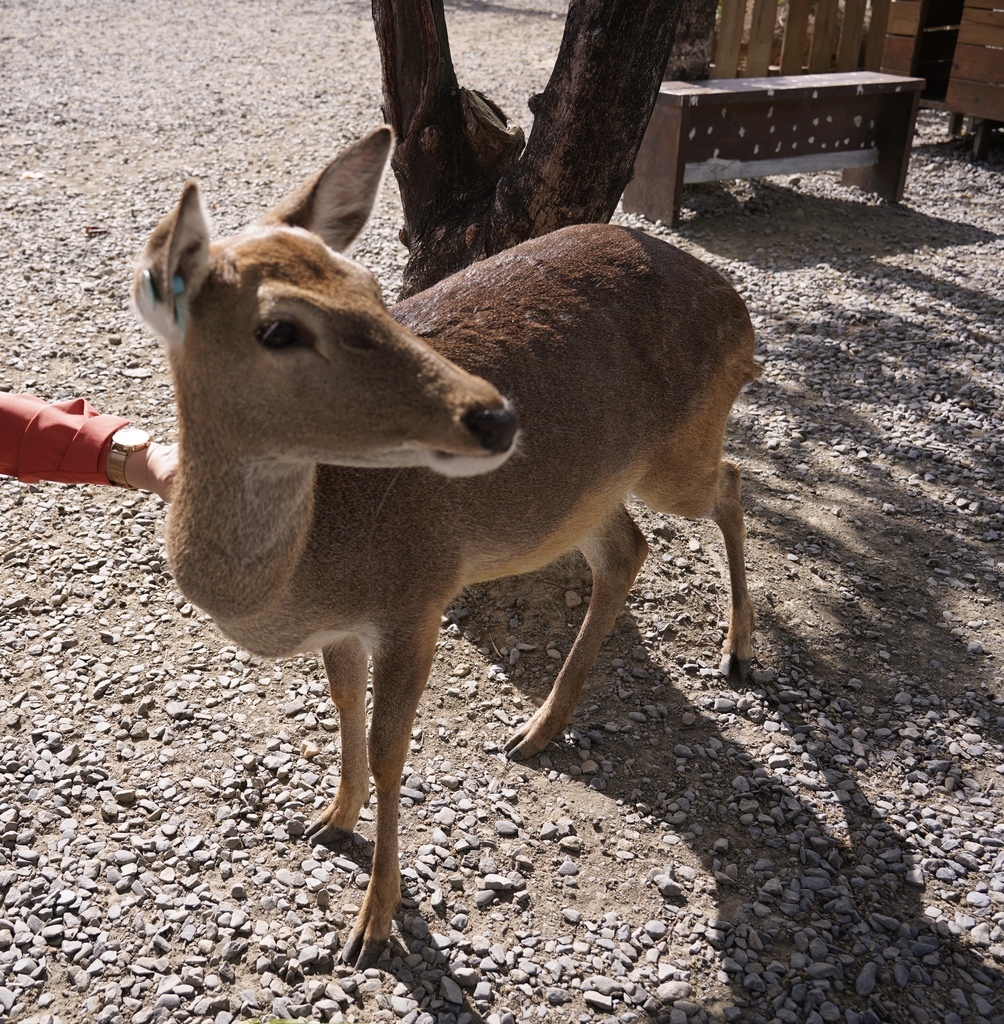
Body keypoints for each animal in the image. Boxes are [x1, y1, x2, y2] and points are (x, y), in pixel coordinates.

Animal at [133, 123, 762, 962]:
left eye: (372, 289)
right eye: (276, 328)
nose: (496, 416)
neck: (300, 576)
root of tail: (742, 314)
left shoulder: (418, 592)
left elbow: (390, 747)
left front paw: (372, 926)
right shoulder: (346, 626)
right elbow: (344, 707)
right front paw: (328, 820)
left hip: (678, 457)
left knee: (730, 480)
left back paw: (738, 653)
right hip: (591, 488)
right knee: (628, 548)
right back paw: (538, 729)